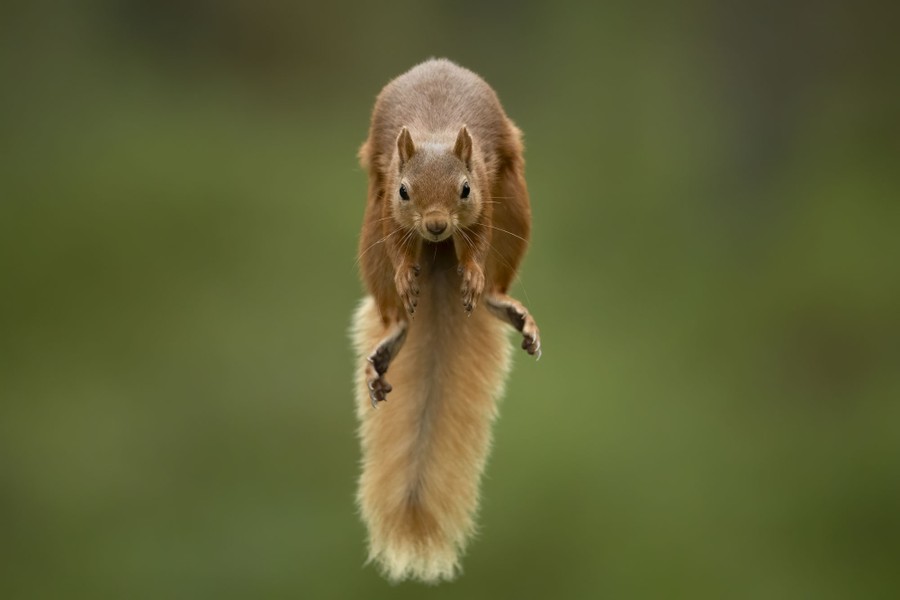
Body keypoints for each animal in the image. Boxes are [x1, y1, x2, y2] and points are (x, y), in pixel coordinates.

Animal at [351, 58, 542, 583]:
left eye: (464, 188)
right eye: (404, 190)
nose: (436, 225)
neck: (434, 131)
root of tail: (437, 254)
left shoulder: (486, 193)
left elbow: (477, 240)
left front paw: (472, 274)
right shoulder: (389, 207)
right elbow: (398, 244)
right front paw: (404, 272)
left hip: (514, 209)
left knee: (496, 269)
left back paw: (499, 301)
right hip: (370, 234)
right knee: (391, 298)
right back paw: (392, 336)